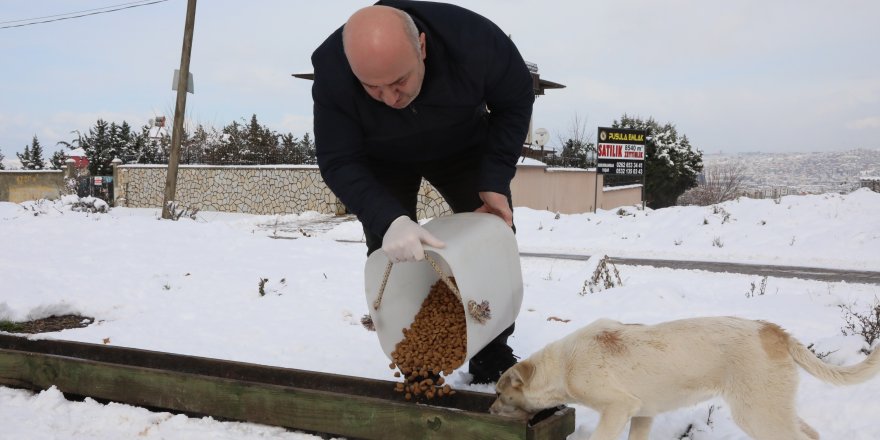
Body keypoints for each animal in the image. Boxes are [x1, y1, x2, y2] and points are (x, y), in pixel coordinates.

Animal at [488, 316, 880, 440]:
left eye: (501, 394)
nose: (489, 412)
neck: (563, 365)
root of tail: (772, 330)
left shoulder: (617, 408)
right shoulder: (642, 414)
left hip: (757, 413)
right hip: (772, 406)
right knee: (810, 433)